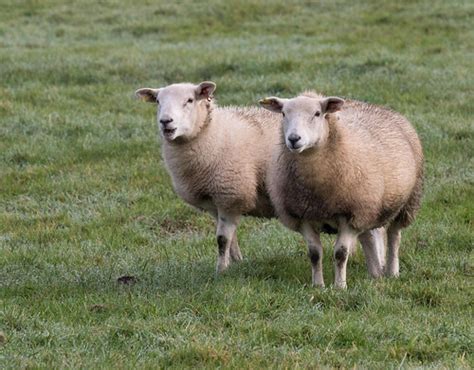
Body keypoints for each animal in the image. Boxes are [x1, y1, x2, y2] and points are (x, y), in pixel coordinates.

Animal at [262, 91, 424, 288]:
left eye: (317, 113)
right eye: (284, 113)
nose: (293, 139)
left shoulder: (350, 214)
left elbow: (340, 253)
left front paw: (340, 286)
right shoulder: (303, 216)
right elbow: (314, 253)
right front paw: (318, 285)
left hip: (405, 203)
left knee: (394, 236)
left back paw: (392, 272)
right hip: (369, 209)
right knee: (368, 238)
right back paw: (375, 274)